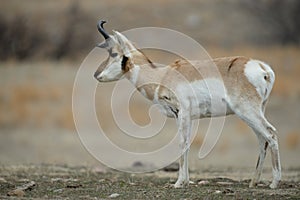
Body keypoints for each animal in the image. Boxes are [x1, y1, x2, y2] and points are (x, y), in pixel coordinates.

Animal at [94, 20, 282, 189]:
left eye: (113, 53)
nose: (96, 74)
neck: (162, 76)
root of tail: (262, 67)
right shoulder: (183, 116)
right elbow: (187, 143)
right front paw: (185, 182)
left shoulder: (183, 113)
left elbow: (182, 143)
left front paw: (178, 183)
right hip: (255, 112)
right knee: (262, 139)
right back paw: (254, 182)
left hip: (247, 112)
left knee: (271, 133)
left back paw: (274, 183)